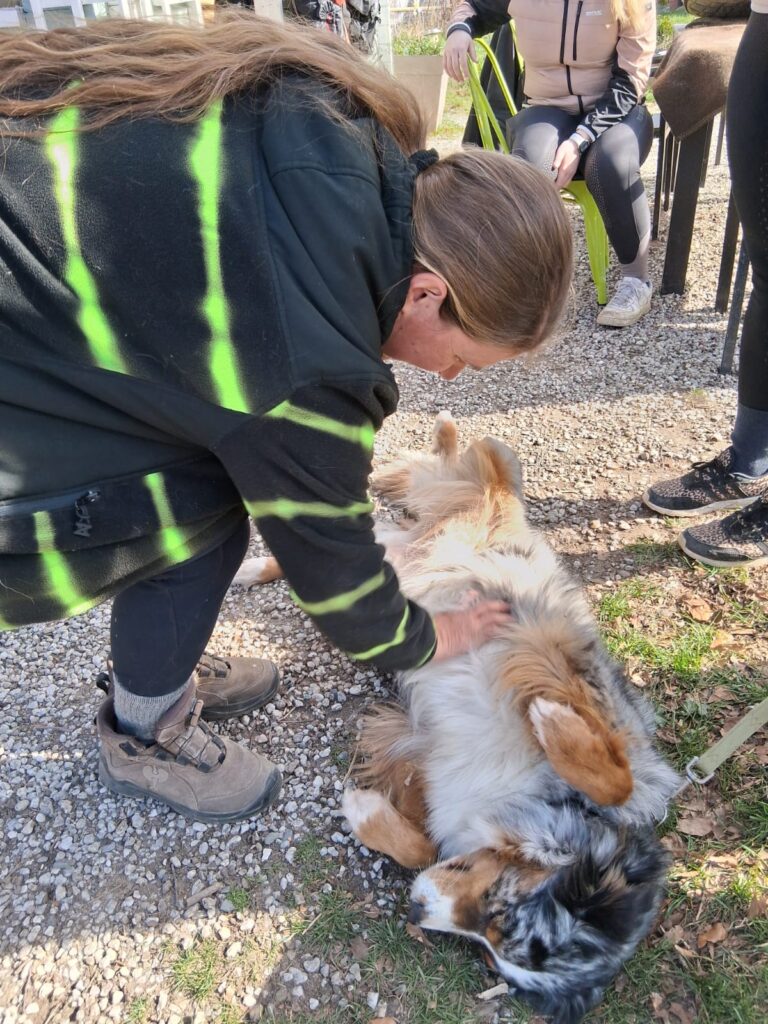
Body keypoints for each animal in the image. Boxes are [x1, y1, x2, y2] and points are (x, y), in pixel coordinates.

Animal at [234, 413, 681, 1024]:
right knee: (478, 462)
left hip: (384, 572)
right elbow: (617, 775)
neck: (534, 803)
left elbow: (420, 847)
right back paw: (447, 435)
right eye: (500, 910)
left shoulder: (424, 760)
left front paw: (365, 810)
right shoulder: (572, 674)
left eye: (492, 955)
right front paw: (553, 723)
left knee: (339, 568)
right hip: (468, 500)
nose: (415, 912)